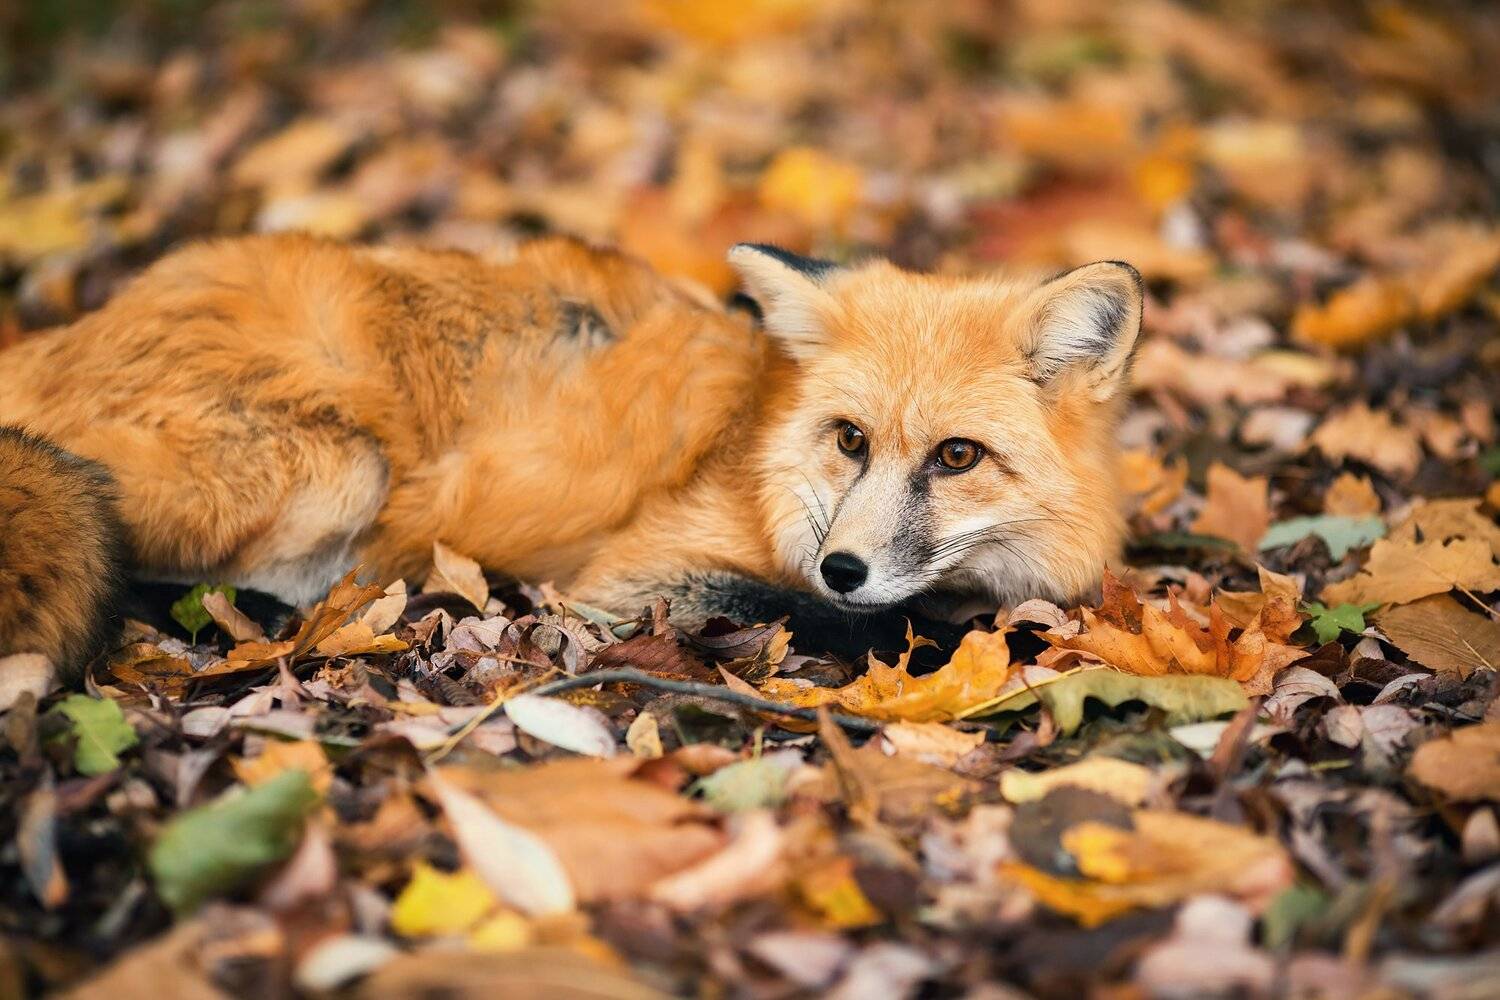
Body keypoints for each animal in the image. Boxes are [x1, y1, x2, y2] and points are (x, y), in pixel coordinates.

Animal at [0, 233, 1141, 678]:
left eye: (957, 455)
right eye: (851, 440)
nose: (844, 564)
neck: (757, 439)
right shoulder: (637, 576)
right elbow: (856, 623)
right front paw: (975, 638)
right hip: (330, 472)